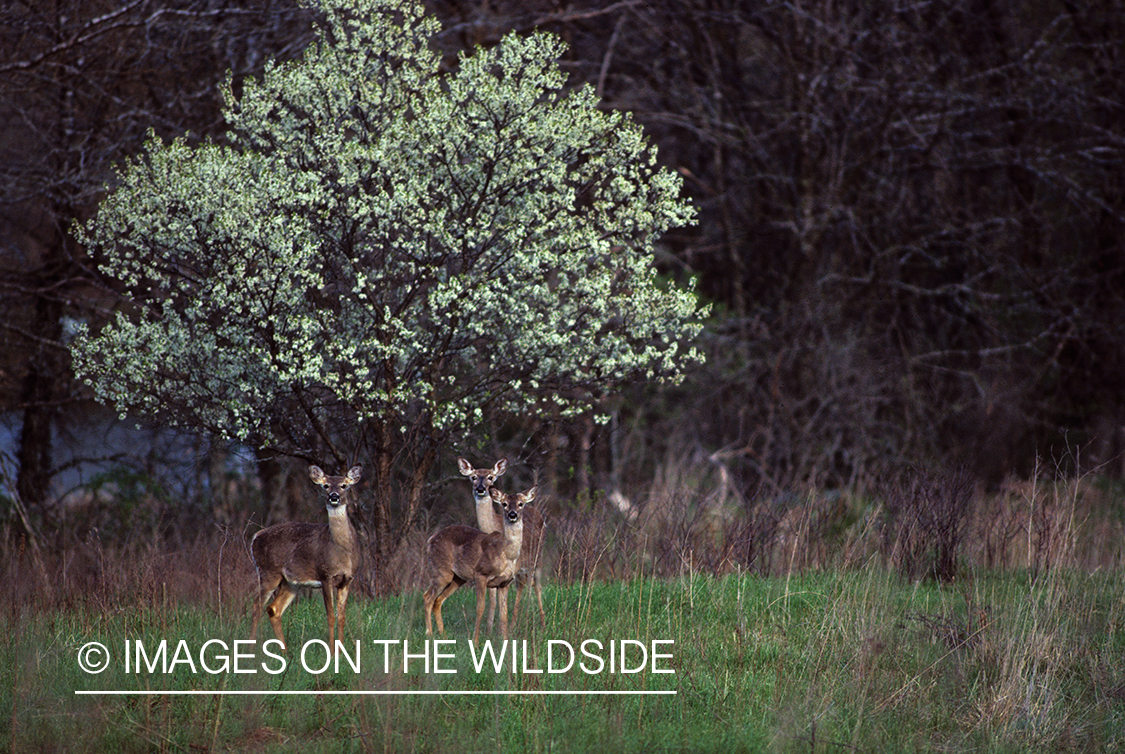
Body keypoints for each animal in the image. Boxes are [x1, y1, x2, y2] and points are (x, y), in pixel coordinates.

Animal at [249, 463, 360, 652]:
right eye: (326, 485)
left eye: (344, 485)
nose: (334, 497)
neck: (341, 551)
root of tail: (255, 537)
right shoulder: (325, 576)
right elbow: (331, 616)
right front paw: (332, 652)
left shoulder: (347, 580)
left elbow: (342, 617)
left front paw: (342, 651)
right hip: (268, 572)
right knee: (257, 607)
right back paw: (248, 649)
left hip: (290, 582)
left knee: (273, 609)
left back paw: (285, 653)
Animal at [425, 483, 540, 643]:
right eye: (504, 504)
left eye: (520, 504)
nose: (512, 515)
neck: (507, 554)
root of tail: (430, 540)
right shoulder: (480, 574)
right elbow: (480, 607)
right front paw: (475, 641)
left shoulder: (505, 582)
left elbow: (504, 612)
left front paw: (505, 641)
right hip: (440, 571)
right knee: (428, 597)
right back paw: (429, 633)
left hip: (457, 578)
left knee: (438, 600)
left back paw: (443, 635)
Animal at [454, 461, 546, 630]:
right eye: (473, 477)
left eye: (491, 477)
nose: (481, 489)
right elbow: (493, 599)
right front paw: (490, 628)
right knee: (522, 585)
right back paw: (515, 621)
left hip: (537, 557)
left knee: (535, 586)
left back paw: (538, 621)